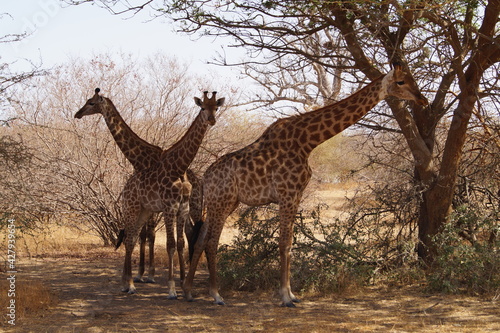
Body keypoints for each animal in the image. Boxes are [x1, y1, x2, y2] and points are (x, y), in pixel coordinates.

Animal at [73, 88, 201, 282]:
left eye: (91, 102)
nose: (77, 114)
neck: (139, 158)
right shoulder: (149, 203)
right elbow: (144, 235)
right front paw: (142, 273)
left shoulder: (153, 203)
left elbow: (149, 235)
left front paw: (147, 274)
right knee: (191, 232)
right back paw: (185, 272)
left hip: (193, 206)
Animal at [120, 89, 224, 296]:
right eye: (202, 107)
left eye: (216, 107)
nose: (211, 120)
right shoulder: (163, 207)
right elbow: (164, 242)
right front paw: (167, 285)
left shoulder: (174, 207)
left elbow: (172, 242)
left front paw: (176, 284)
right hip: (137, 208)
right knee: (131, 237)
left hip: (162, 210)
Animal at [184, 63, 426, 306]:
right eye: (401, 82)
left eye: (413, 78)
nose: (422, 100)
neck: (307, 141)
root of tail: (205, 178)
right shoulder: (287, 193)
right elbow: (283, 242)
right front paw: (285, 296)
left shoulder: (297, 194)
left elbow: (290, 242)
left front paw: (292, 294)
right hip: (221, 202)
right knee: (211, 242)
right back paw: (216, 294)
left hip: (223, 203)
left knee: (200, 240)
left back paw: (190, 291)